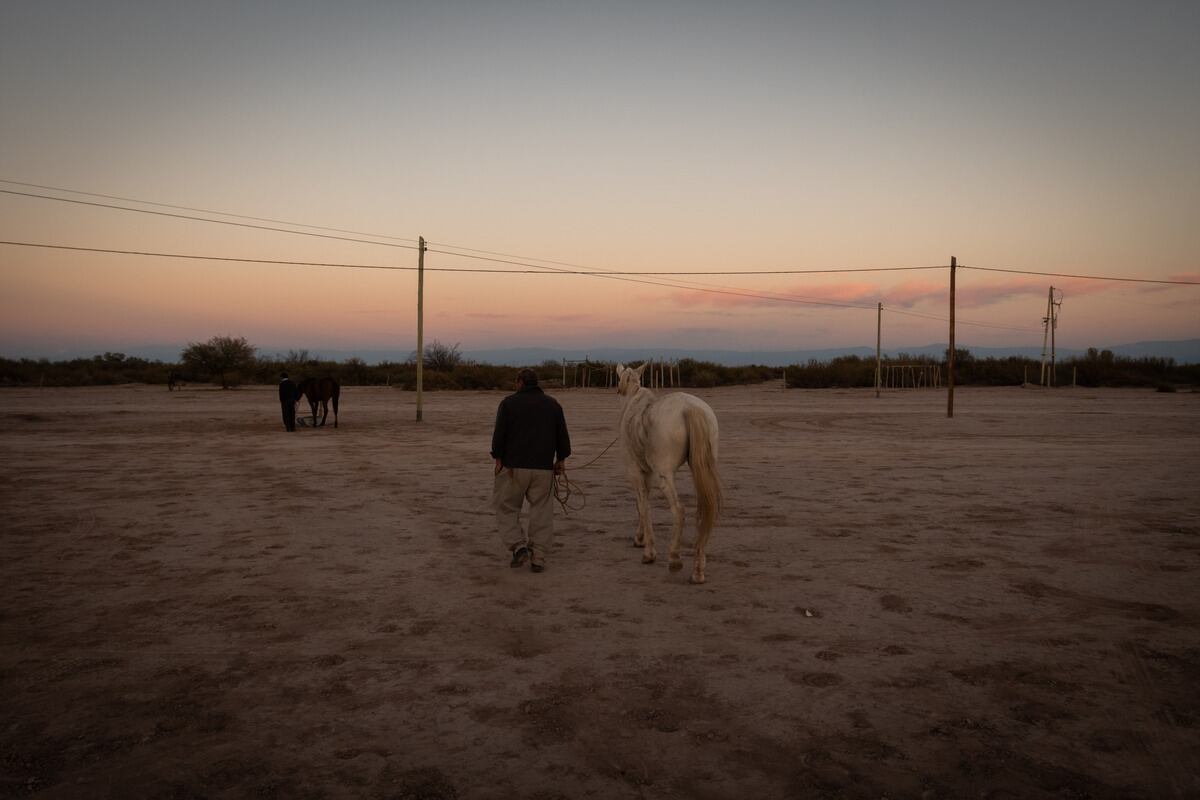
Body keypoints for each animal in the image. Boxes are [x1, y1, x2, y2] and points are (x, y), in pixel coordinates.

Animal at [619, 362, 720, 582]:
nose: (619, 390)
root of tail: (690, 407)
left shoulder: (635, 471)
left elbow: (642, 506)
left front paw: (648, 551)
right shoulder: (646, 473)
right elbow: (643, 504)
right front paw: (641, 539)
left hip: (664, 475)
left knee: (679, 510)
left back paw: (674, 558)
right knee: (703, 511)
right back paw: (698, 570)